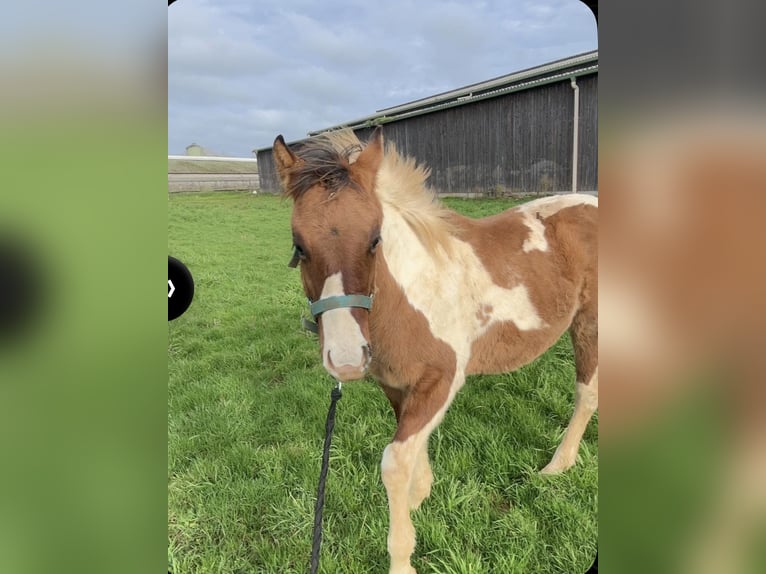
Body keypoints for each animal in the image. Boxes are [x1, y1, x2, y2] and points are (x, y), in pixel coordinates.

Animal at [272, 128, 604, 572]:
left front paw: (402, 558)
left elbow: (395, 462)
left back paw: (558, 465)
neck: (412, 294)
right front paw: (421, 495)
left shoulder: (444, 378)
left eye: (375, 239)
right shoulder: (397, 385)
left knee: (588, 394)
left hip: (591, 323)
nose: (346, 360)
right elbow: (411, 445)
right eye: (299, 245)